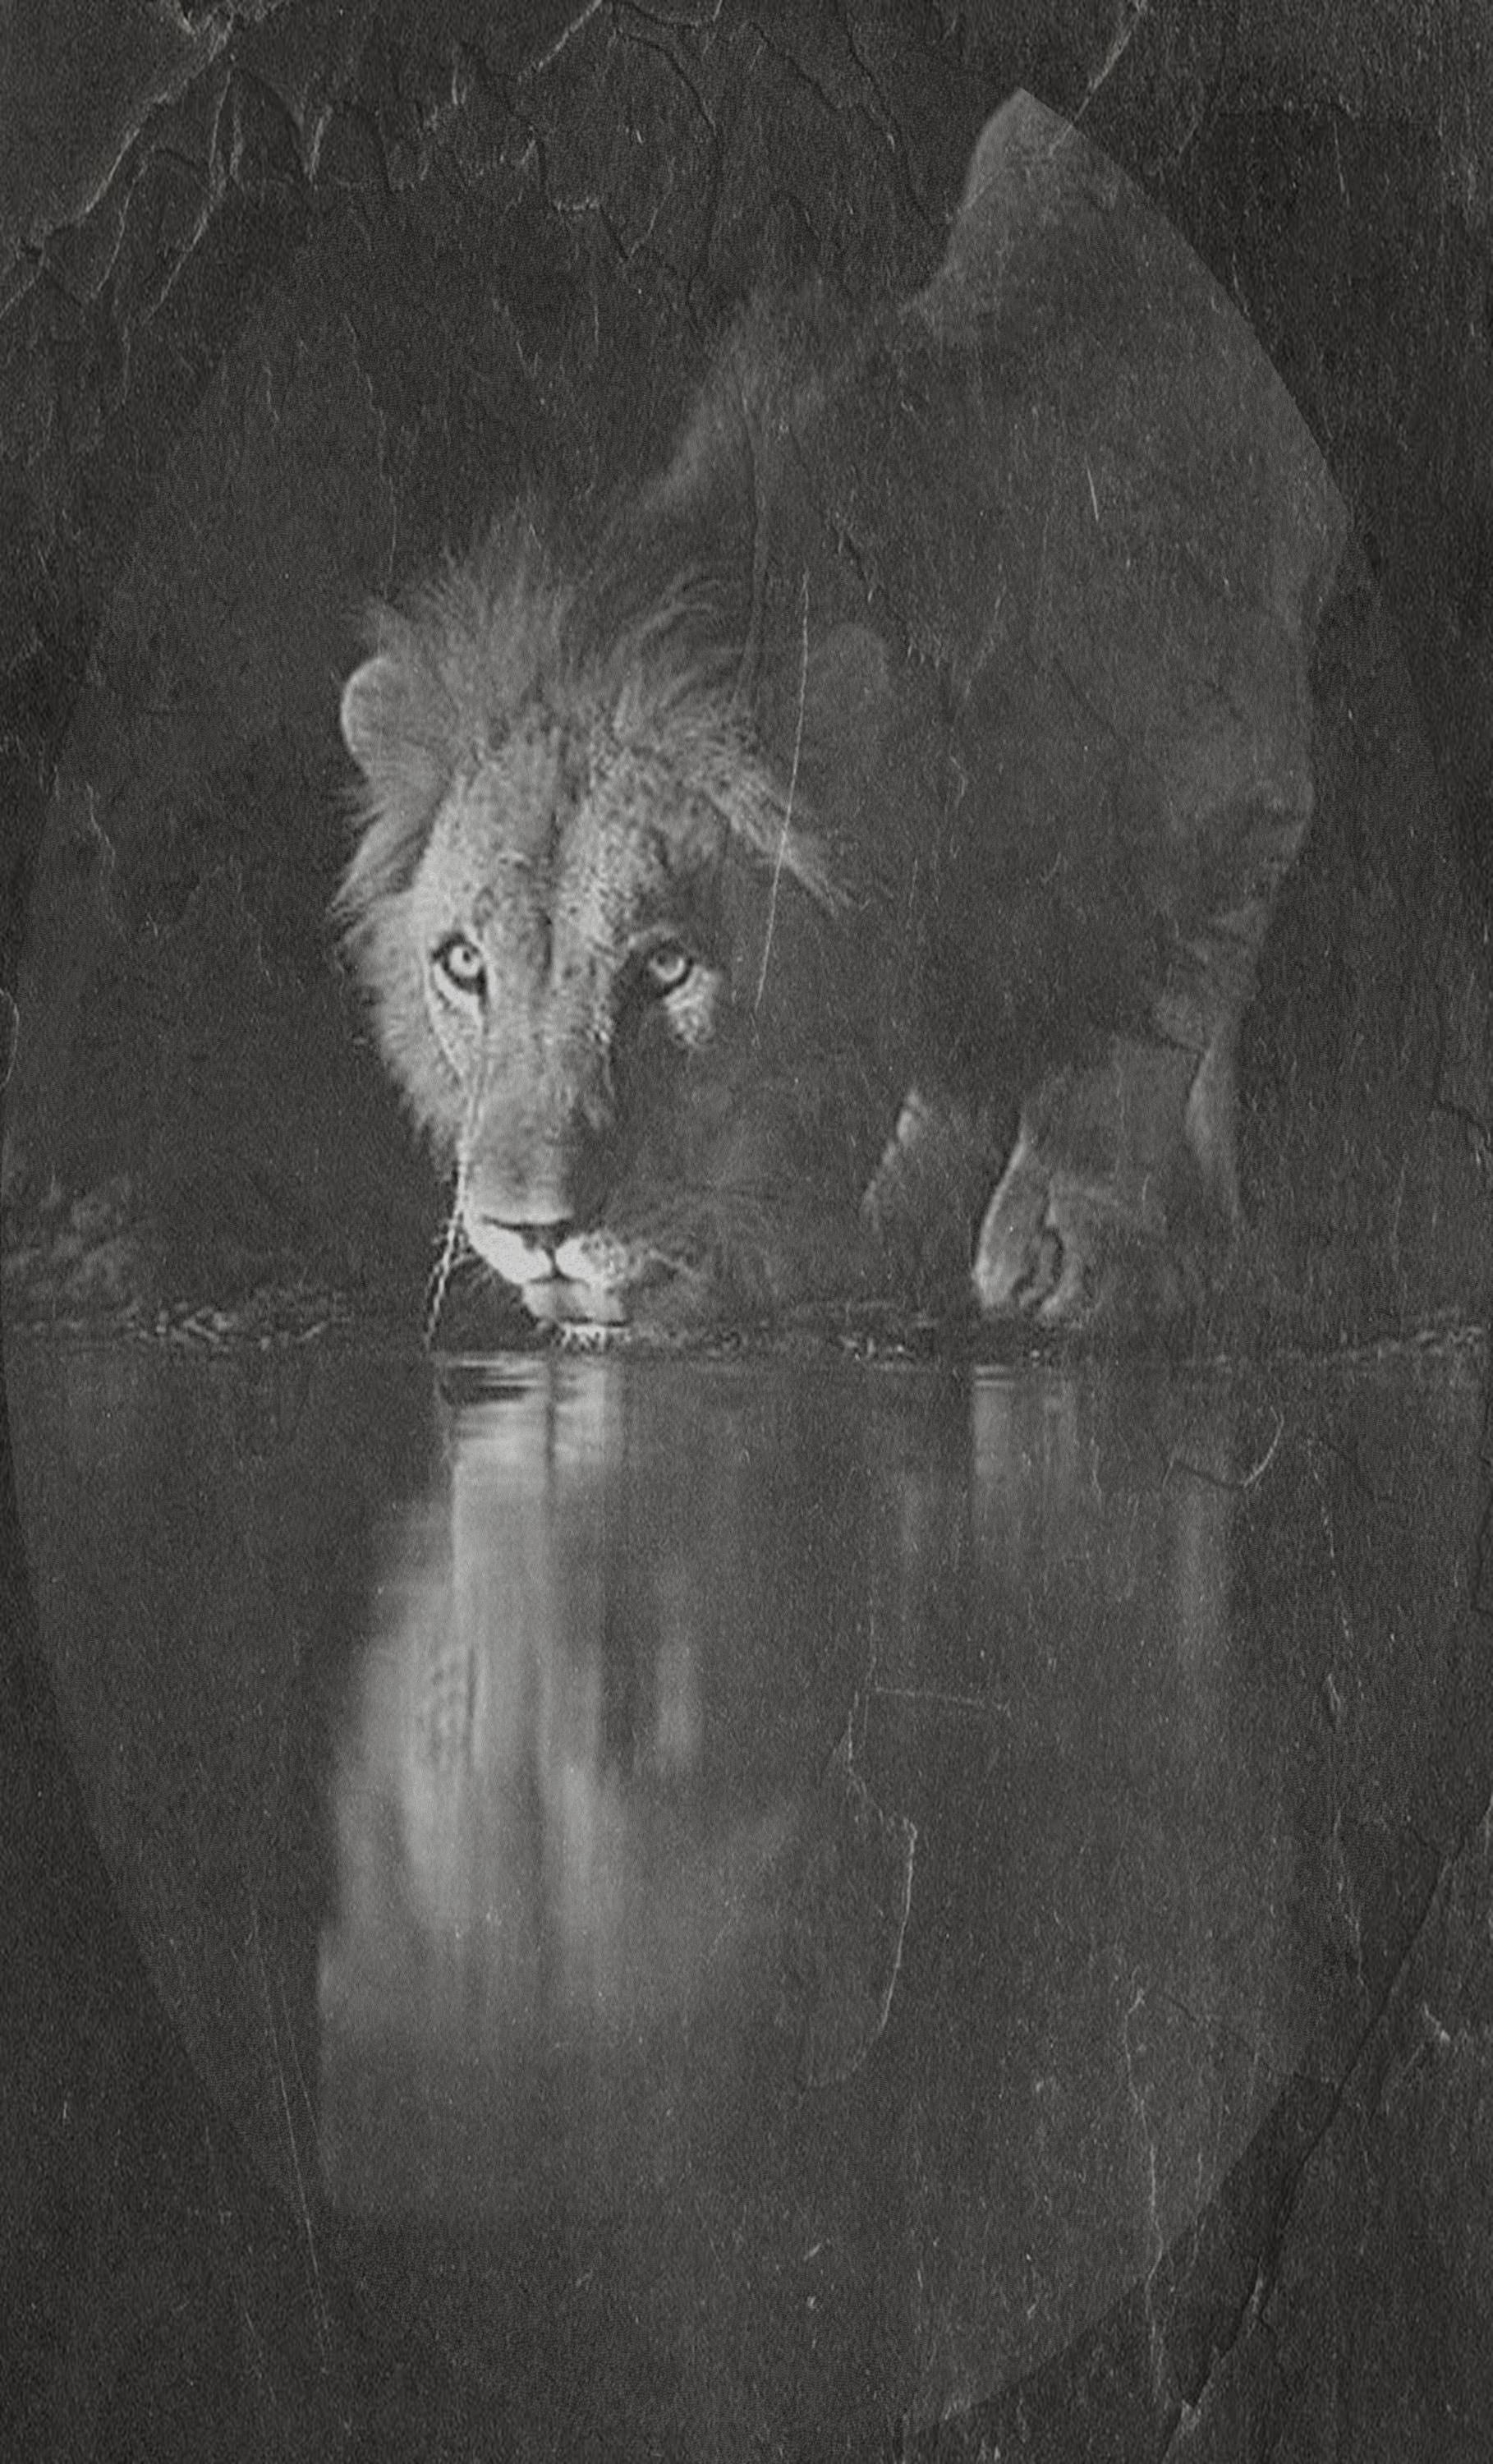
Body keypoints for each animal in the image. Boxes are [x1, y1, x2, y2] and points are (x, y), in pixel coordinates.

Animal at [336, 92, 1345, 1336]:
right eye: (463, 964)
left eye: (668, 967)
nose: (532, 1231)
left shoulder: (1241, 785)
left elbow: (1140, 1013)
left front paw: (1073, 1241)